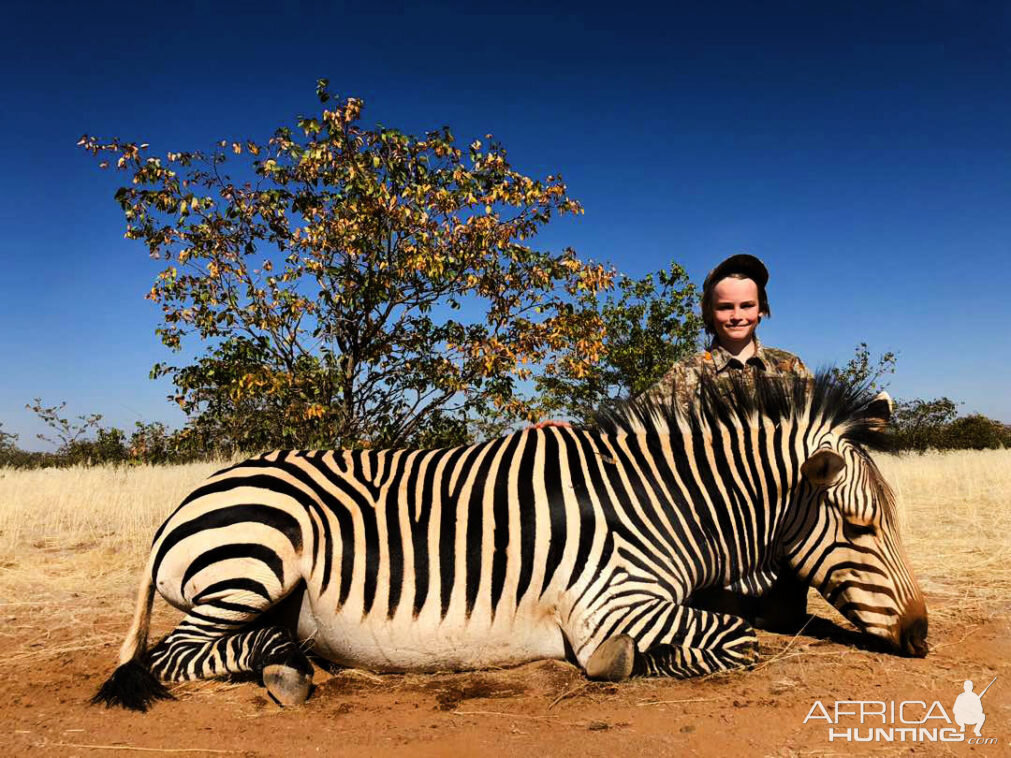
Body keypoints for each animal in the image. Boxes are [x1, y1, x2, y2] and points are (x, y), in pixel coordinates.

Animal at [90, 373, 926, 711]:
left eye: (889, 520)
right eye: (860, 529)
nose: (920, 639)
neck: (665, 504)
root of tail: (187, 500)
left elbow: (732, 634)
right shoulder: (616, 602)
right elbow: (733, 639)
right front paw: (627, 664)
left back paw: (290, 656)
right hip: (257, 562)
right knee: (172, 657)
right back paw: (285, 671)